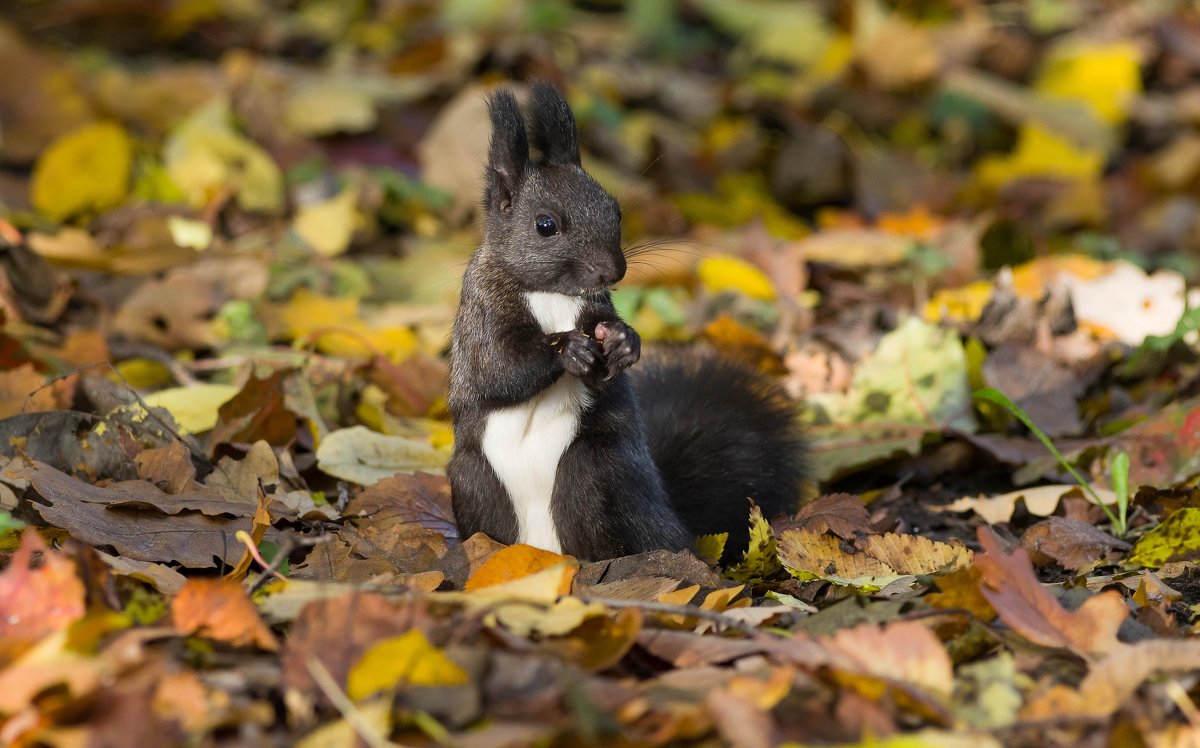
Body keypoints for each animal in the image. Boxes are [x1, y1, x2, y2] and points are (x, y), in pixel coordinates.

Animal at [446, 81, 801, 561]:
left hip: (599, 471)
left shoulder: (595, 307)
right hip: (476, 482)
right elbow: (498, 369)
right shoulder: (480, 317)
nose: (613, 271)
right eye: (545, 225)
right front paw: (568, 348)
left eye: (615, 210)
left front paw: (623, 341)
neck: (553, 295)